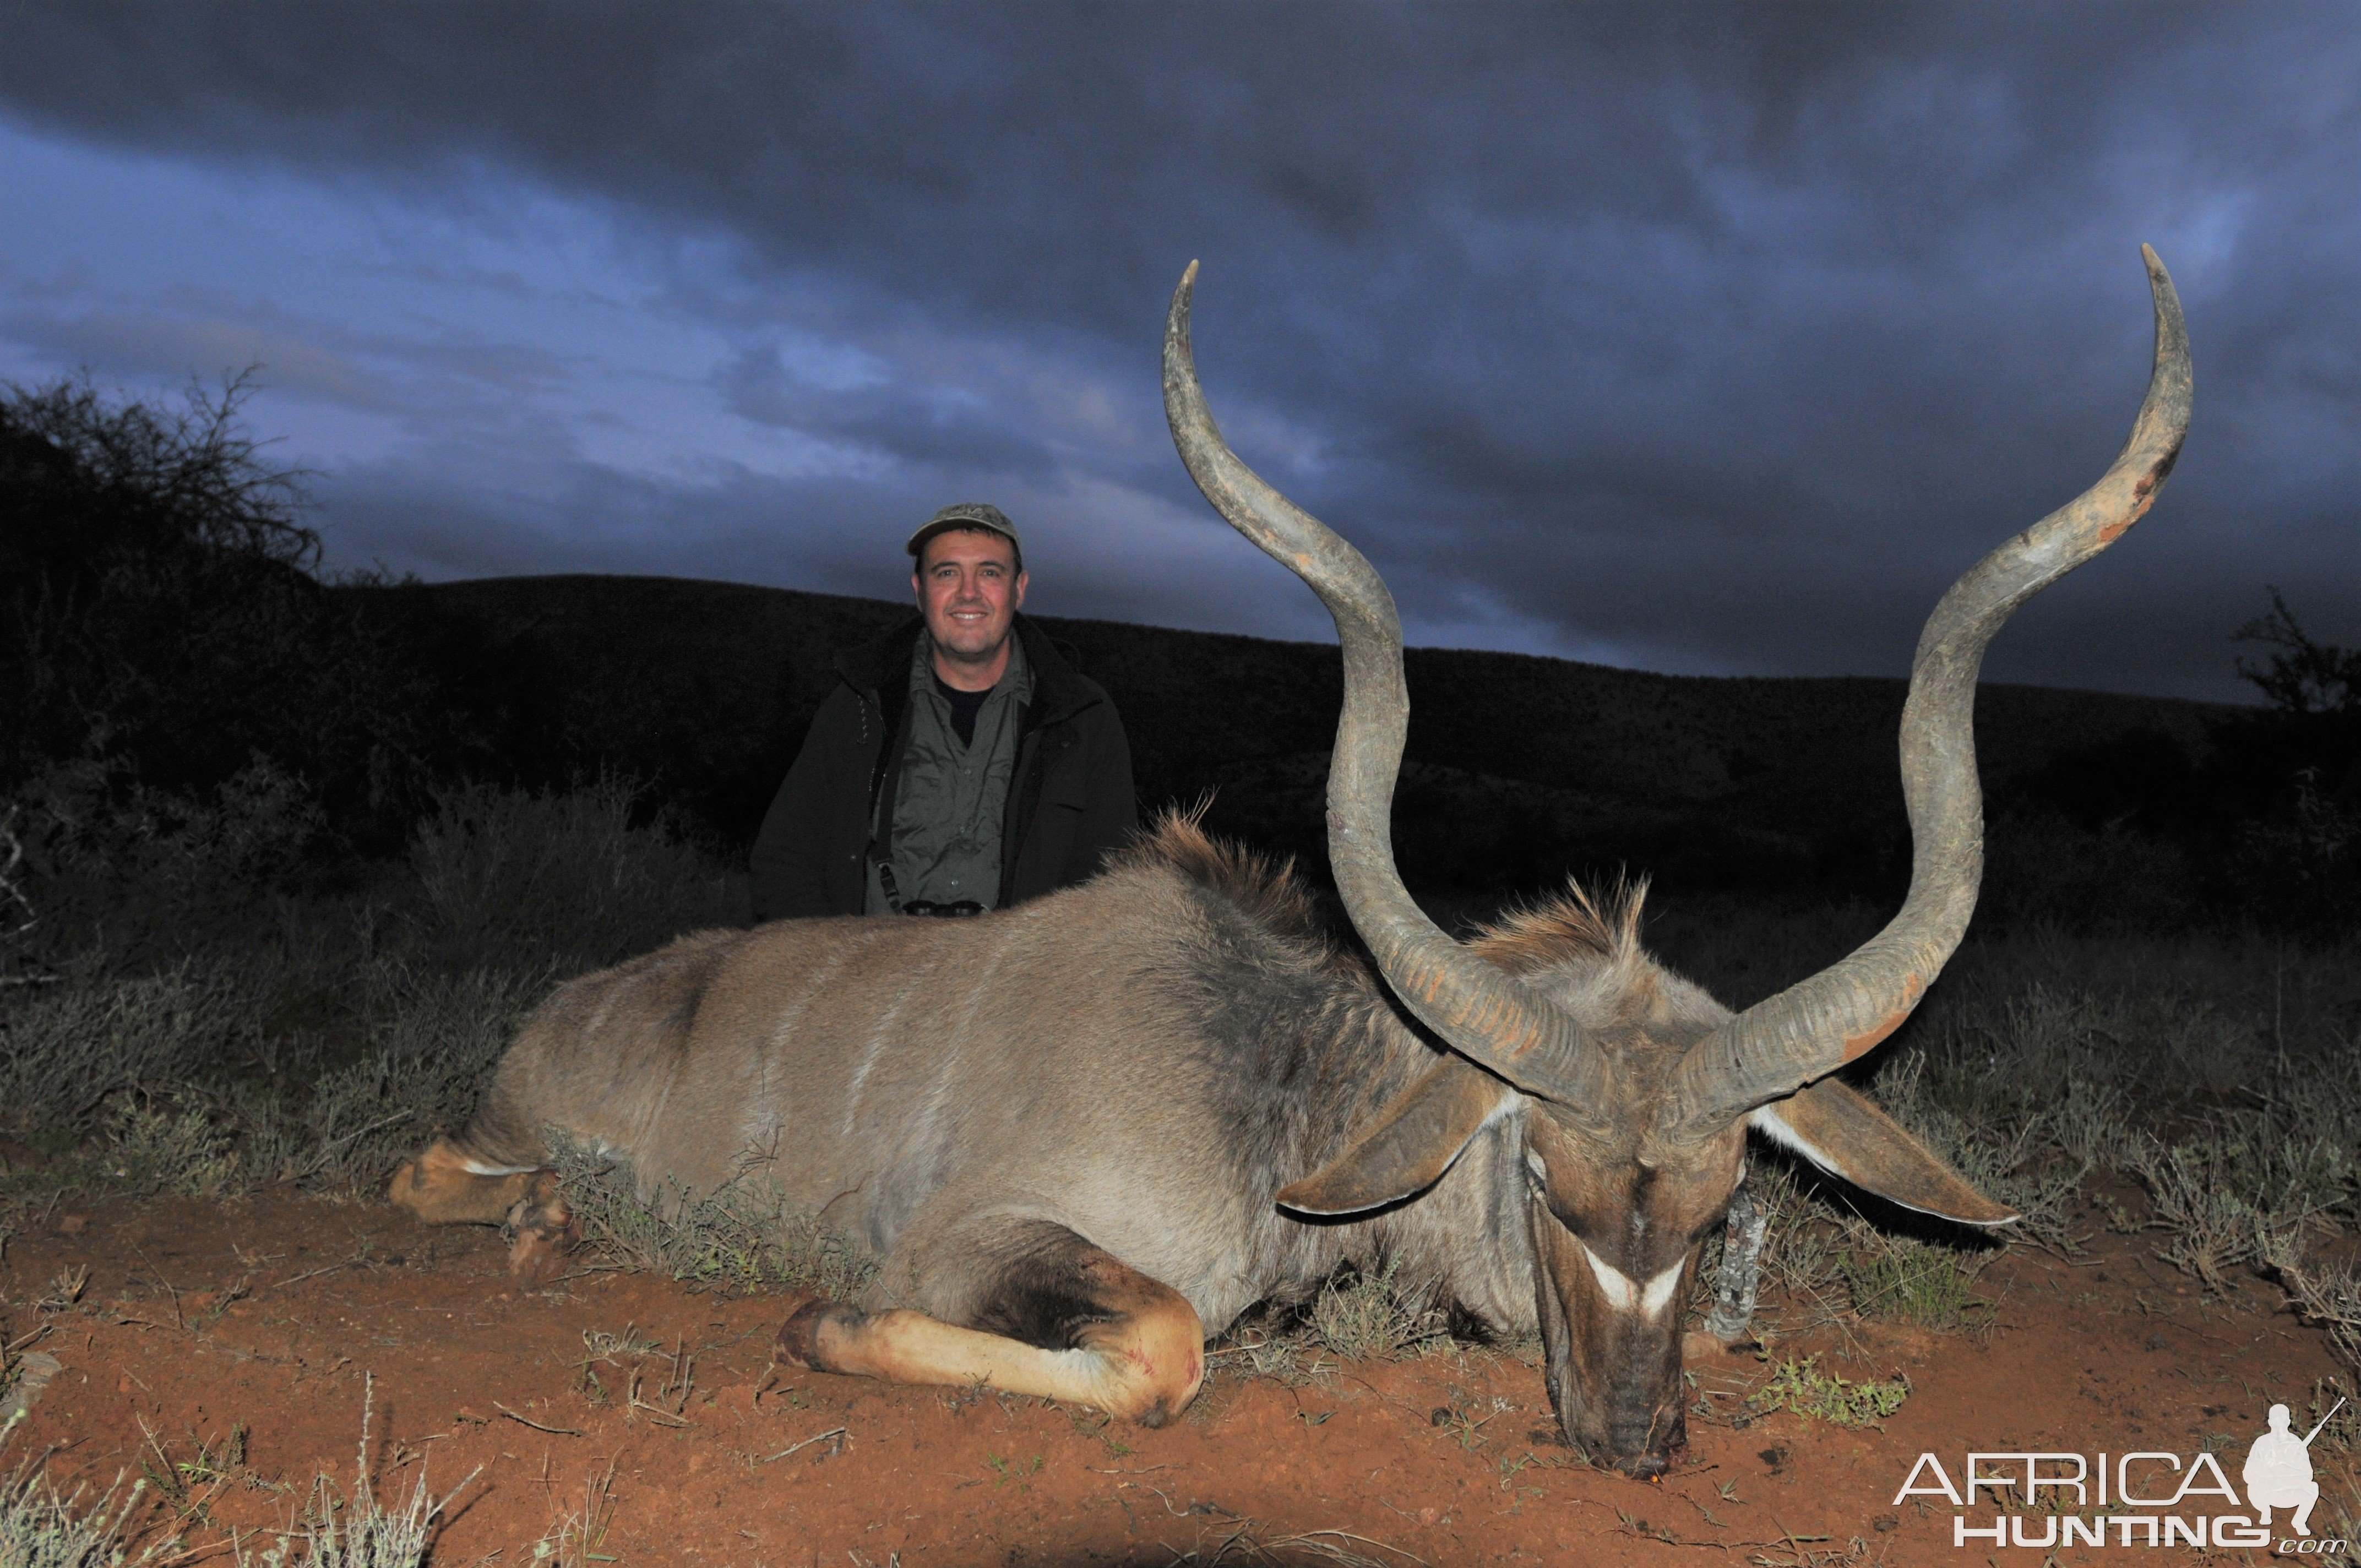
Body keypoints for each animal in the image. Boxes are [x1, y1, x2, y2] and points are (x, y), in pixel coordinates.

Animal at [391, 246, 2191, 1473]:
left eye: (1722, 1193)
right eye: (1540, 1179)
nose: (1634, 1441)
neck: (1266, 1087)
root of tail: (563, 1013)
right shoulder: (977, 1234)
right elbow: (1163, 1344)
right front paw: (817, 1318)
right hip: (505, 1133)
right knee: (428, 1174)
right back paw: (527, 1215)